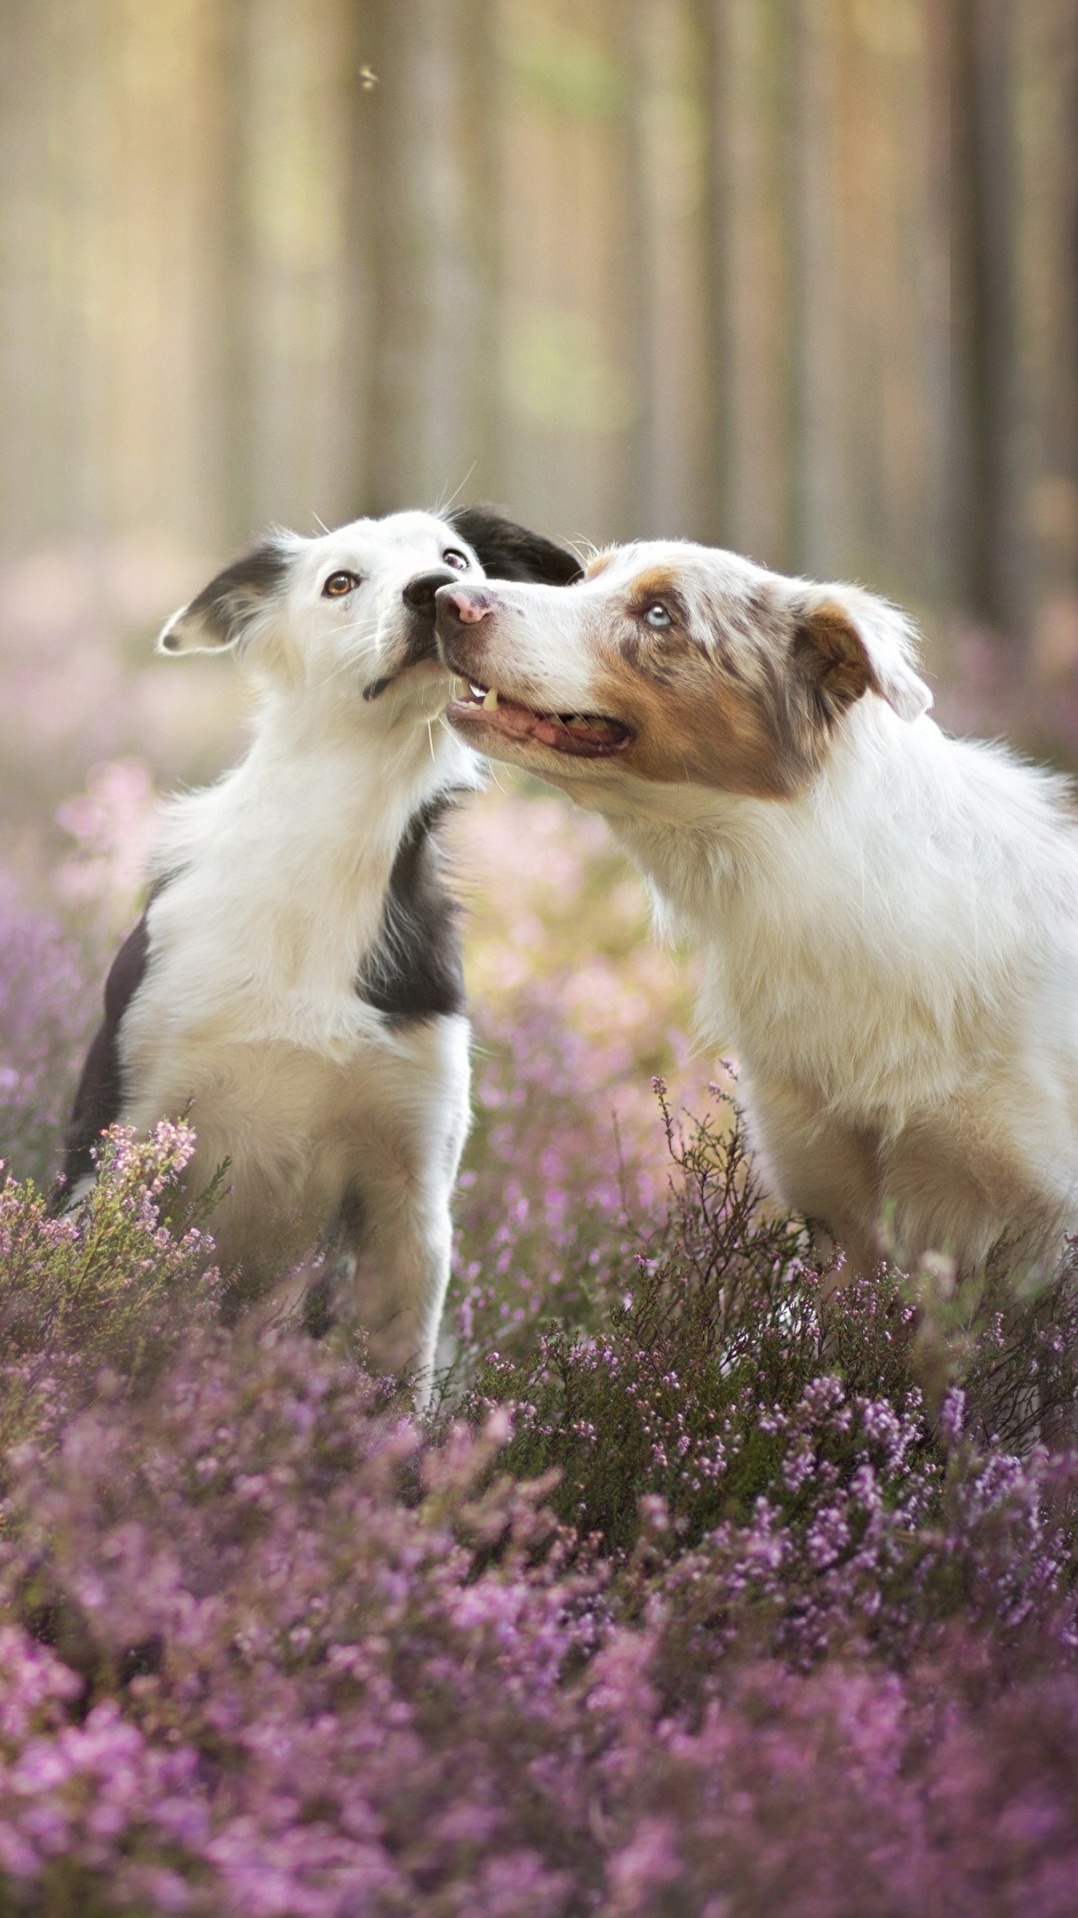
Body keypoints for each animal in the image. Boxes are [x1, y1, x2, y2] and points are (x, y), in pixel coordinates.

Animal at [58, 498, 579, 1396]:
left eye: (456, 557)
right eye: (340, 582)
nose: (439, 593)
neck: (334, 846)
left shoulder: (411, 1193)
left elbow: (395, 1382)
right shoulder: (123, 1130)